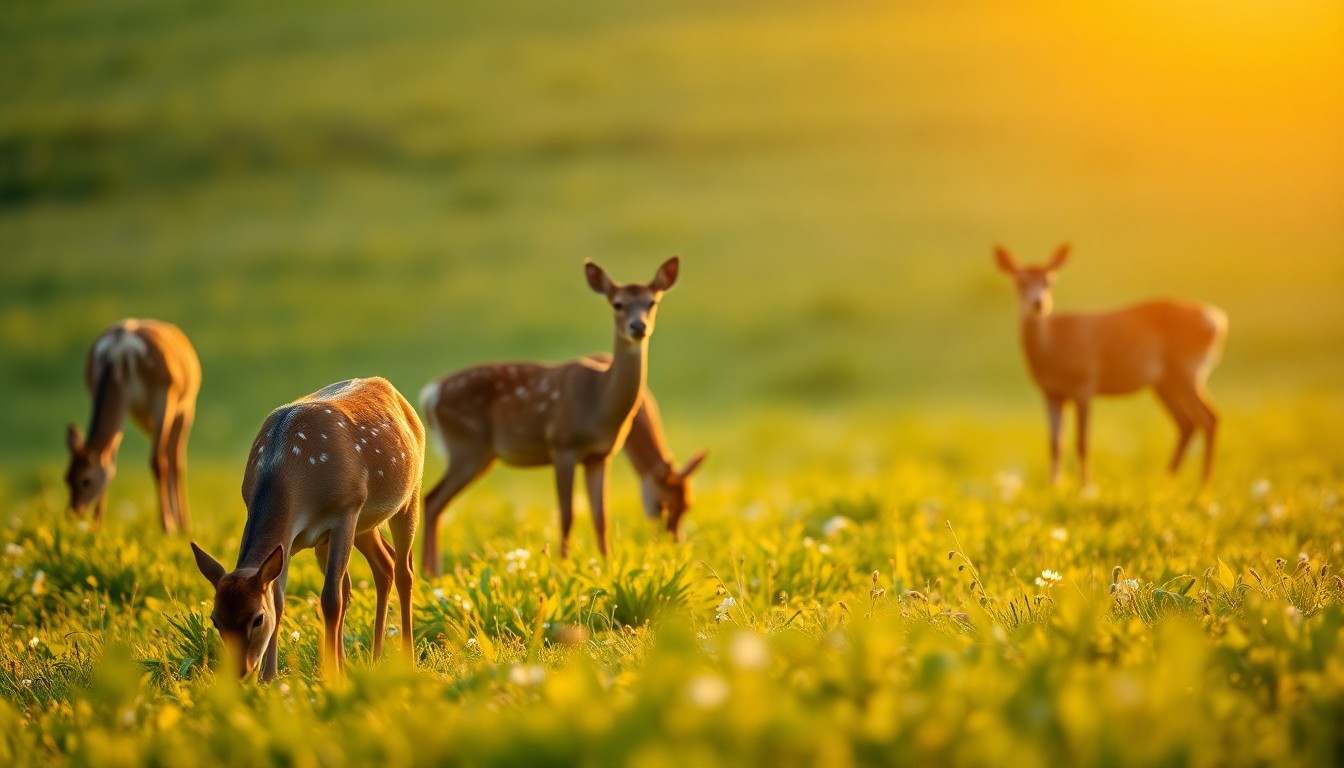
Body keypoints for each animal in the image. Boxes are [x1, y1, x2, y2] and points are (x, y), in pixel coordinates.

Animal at [64, 319, 201, 533]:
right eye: (67, 478)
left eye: (86, 480)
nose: (73, 512)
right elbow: (110, 462)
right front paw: (97, 525)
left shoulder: (163, 396)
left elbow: (157, 461)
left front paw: (167, 526)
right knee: (170, 454)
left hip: (186, 406)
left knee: (176, 459)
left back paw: (183, 525)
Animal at [190, 377, 424, 682]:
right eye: (216, 620)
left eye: (257, 618)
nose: (241, 671)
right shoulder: (289, 542)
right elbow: (280, 601)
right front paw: (270, 678)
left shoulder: (346, 510)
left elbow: (331, 599)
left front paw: (330, 676)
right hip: (363, 525)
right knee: (383, 564)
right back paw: (372, 657)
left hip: (408, 497)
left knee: (403, 570)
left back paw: (406, 659)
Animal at [418, 257, 680, 575]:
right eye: (617, 303)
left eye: (652, 301)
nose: (638, 326)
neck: (599, 404)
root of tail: (430, 394)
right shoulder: (562, 445)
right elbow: (567, 513)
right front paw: (562, 565)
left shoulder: (600, 455)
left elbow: (601, 516)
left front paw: (606, 565)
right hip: (466, 447)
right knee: (432, 499)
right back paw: (428, 573)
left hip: (476, 454)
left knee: (435, 503)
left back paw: (429, 573)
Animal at [995, 244, 1228, 487]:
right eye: (1020, 282)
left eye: (1049, 281)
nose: (1038, 303)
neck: (1053, 349)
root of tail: (1218, 321)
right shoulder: (1050, 393)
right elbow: (1055, 444)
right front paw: (1054, 486)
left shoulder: (1085, 384)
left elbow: (1082, 442)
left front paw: (1086, 486)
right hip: (1165, 383)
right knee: (1187, 423)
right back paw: (1166, 479)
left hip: (1187, 370)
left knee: (1209, 417)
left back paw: (1203, 483)